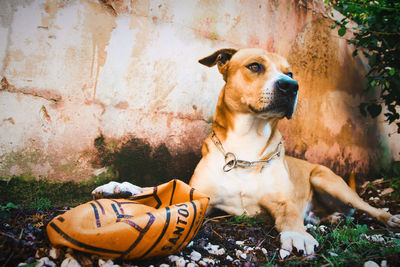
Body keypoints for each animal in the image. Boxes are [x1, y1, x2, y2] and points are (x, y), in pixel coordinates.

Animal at [94, 47, 400, 258]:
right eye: (255, 66)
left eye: (290, 73)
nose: (291, 86)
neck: (247, 146)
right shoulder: (200, 195)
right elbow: (160, 188)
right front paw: (120, 187)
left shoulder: (283, 201)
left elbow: (291, 214)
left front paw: (297, 234)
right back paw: (329, 217)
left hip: (326, 179)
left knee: (366, 208)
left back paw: (387, 219)